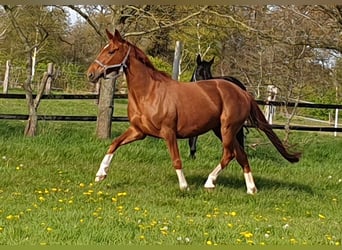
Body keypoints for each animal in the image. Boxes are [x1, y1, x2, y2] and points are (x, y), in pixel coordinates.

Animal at [87, 28, 300, 193]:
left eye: (112, 51)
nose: (91, 74)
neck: (150, 92)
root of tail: (242, 92)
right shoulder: (138, 131)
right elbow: (113, 144)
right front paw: (100, 174)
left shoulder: (168, 132)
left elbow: (176, 160)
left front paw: (184, 186)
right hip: (223, 130)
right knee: (240, 155)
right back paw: (251, 189)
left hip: (227, 129)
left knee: (229, 154)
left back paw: (210, 182)